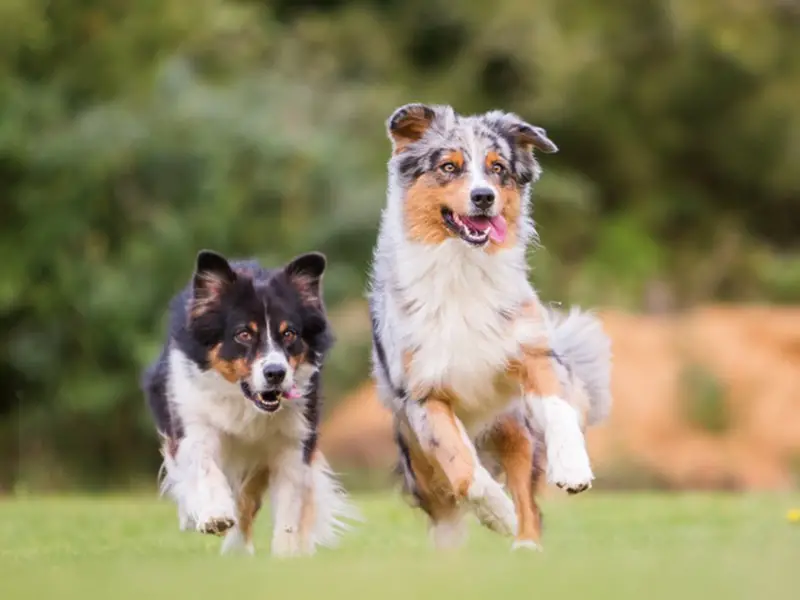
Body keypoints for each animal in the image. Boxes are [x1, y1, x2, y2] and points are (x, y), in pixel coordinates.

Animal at [142, 250, 358, 556]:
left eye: (289, 334)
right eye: (243, 334)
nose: (276, 373)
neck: (245, 404)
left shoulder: (293, 439)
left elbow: (289, 505)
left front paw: (286, 554)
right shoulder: (193, 420)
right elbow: (203, 467)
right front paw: (215, 516)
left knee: (247, 499)